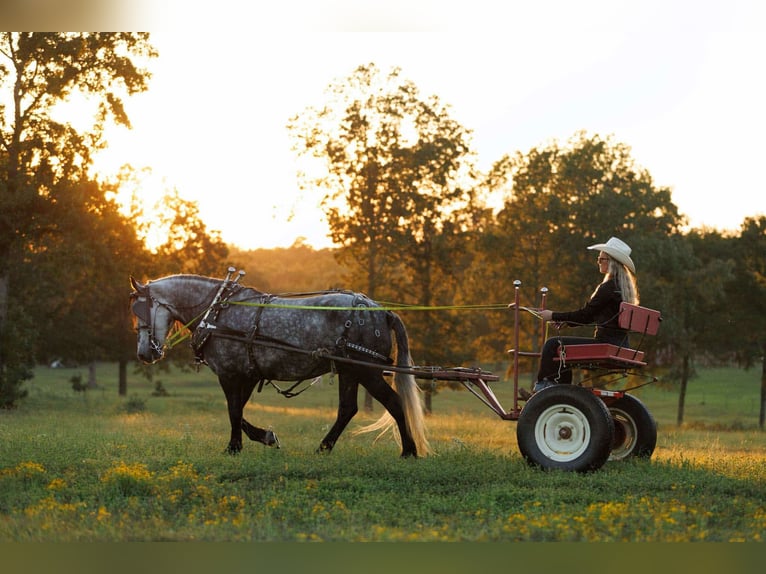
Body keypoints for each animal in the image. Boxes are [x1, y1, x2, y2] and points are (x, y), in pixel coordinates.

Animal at [129, 272, 429, 458]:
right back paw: (323, 448)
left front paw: (234, 447)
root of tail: (382, 311)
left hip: (367, 371)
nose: (144, 353)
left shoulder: (229, 373)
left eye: (139, 311)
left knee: (393, 402)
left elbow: (233, 410)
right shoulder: (248, 373)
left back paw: (409, 451)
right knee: (348, 409)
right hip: (349, 371)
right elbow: (239, 411)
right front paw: (264, 436)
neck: (217, 312)